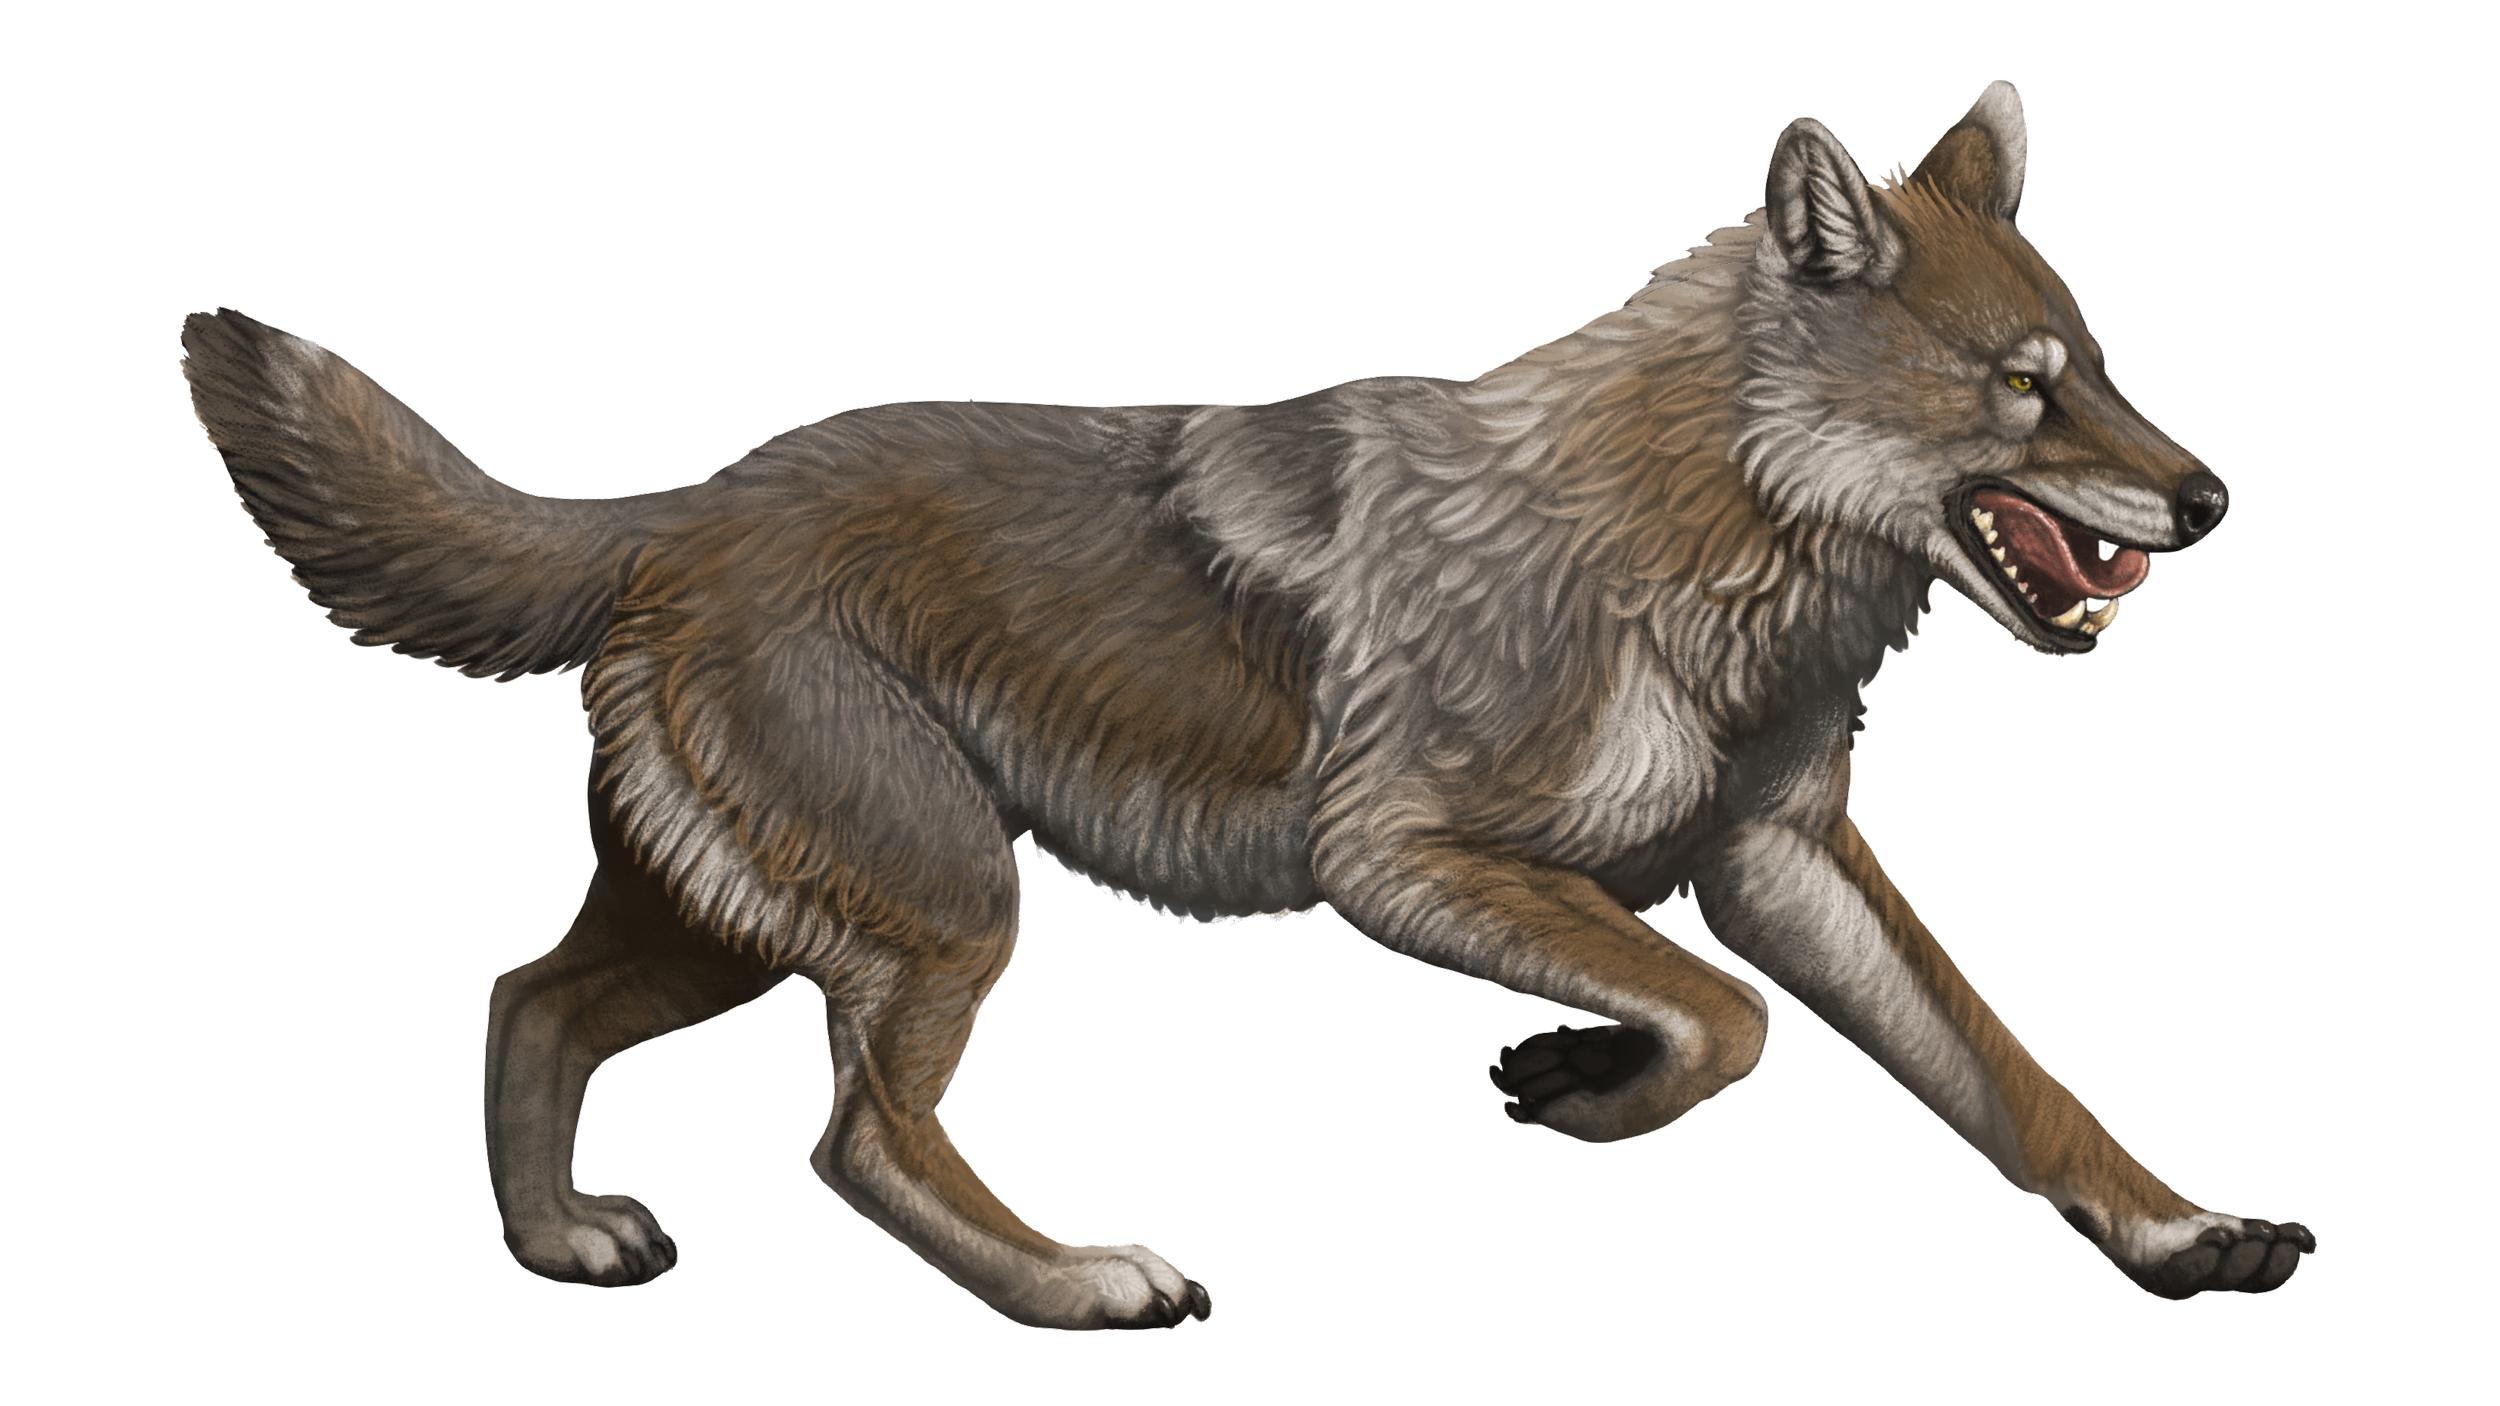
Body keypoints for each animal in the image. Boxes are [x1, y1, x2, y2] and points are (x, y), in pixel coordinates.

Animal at [185, 82, 2313, 1327]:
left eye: (2104, 363)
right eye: (2024, 388)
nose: (2215, 501)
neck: (1683, 549)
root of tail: (684, 505)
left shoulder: (1782, 860)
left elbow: (2009, 1080)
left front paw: (2181, 1236)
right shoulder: (1408, 858)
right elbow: (1719, 1019)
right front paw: (1582, 1093)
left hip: (756, 923)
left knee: (524, 1000)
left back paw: (562, 1243)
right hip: (952, 911)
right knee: (852, 1140)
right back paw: (1074, 1286)